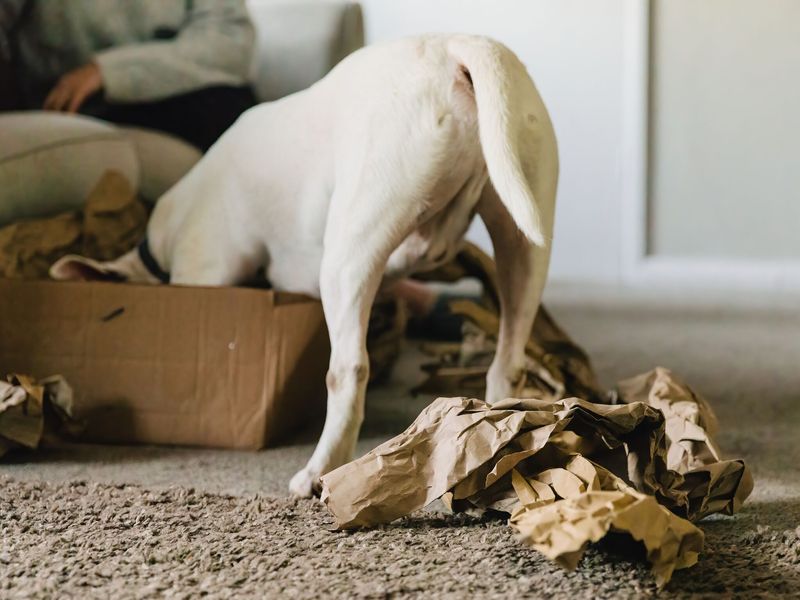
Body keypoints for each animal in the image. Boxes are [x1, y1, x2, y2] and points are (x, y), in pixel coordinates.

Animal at [53, 35, 556, 500]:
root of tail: (454, 50)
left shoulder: (202, 273)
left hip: (350, 251)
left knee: (348, 370)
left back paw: (317, 471)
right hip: (522, 245)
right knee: (506, 358)